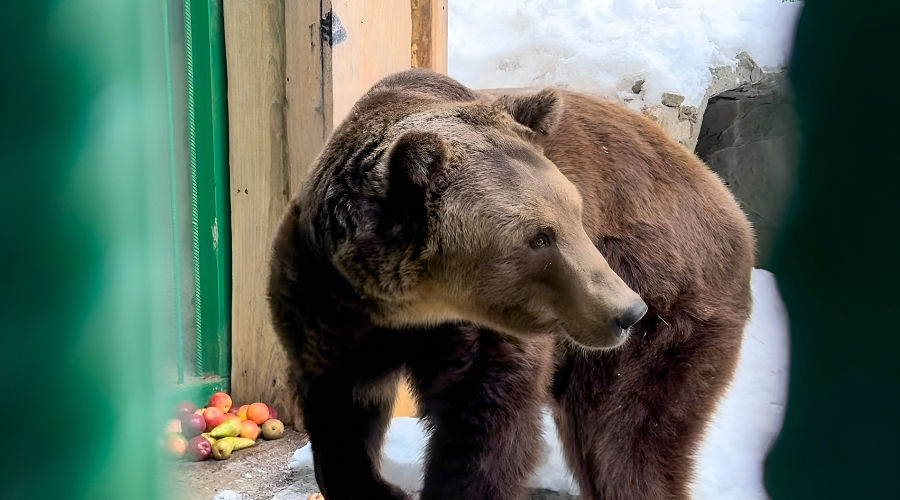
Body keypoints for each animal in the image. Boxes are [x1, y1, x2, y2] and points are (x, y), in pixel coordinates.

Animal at [268, 67, 752, 500]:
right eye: (539, 237)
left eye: (577, 213)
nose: (626, 312)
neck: (407, 308)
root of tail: (723, 195)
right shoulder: (326, 304)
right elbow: (339, 418)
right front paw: (381, 489)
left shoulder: (483, 336)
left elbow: (487, 427)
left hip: (668, 294)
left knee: (622, 435)